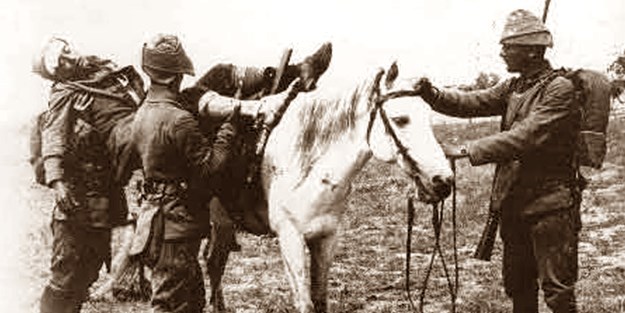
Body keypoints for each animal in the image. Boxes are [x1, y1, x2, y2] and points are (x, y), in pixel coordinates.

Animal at [207, 62, 450, 310]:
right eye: (401, 119)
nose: (443, 181)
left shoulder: (327, 237)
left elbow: (320, 298)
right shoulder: (290, 238)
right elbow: (304, 303)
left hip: (222, 227)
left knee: (214, 264)